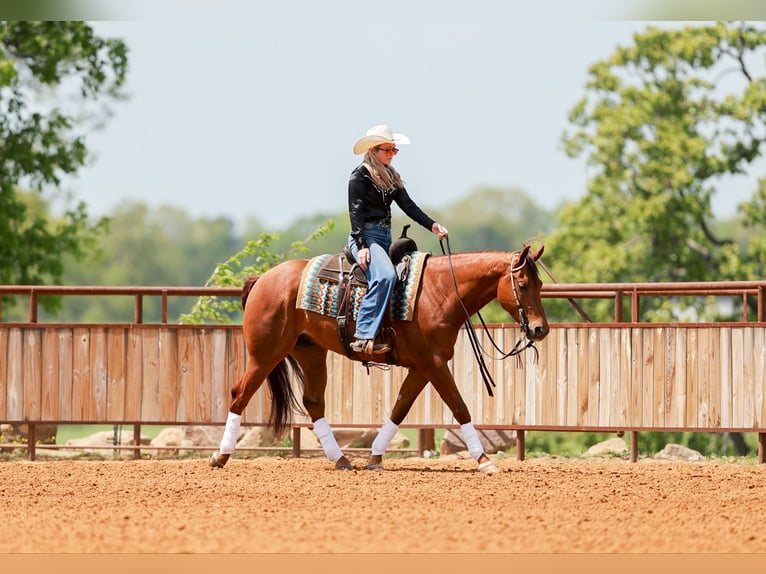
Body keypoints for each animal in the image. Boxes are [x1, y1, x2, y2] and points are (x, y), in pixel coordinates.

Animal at [209, 244, 549, 474]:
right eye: (522, 284)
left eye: (541, 284)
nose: (540, 329)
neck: (439, 291)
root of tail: (263, 279)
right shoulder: (434, 364)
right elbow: (459, 406)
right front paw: (484, 460)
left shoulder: (423, 367)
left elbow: (400, 408)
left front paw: (374, 457)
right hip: (265, 354)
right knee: (240, 394)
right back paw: (220, 456)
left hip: (310, 352)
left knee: (314, 403)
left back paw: (342, 460)